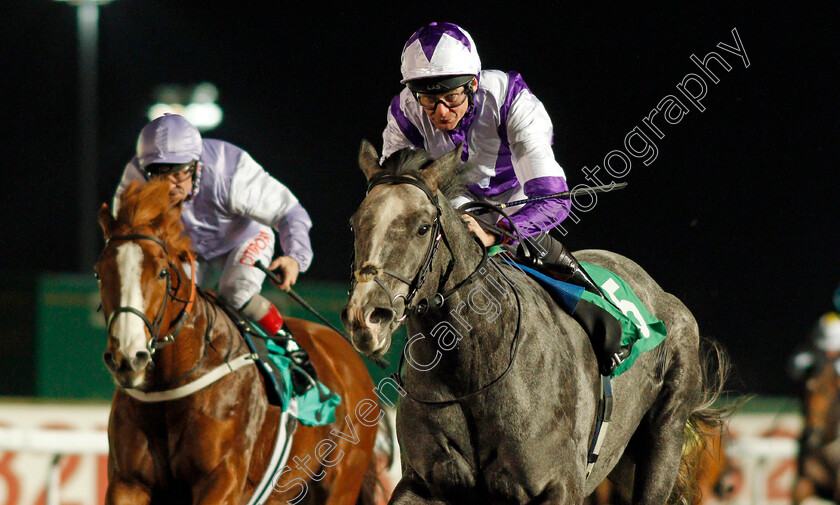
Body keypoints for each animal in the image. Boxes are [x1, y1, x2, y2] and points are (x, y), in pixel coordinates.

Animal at [95, 181, 380, 504]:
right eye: (99, 273)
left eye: (162, 272)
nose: (127, 357)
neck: (170, 386)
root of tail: (350, 357)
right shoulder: (127, 482)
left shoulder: (224, 478)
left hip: (340, 482)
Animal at [342, 141, 728, 504]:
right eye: (355, 223)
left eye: (423, 228)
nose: (366, 316)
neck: (472, 370)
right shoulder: (423, 484)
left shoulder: (558, 486)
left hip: (664, 441)